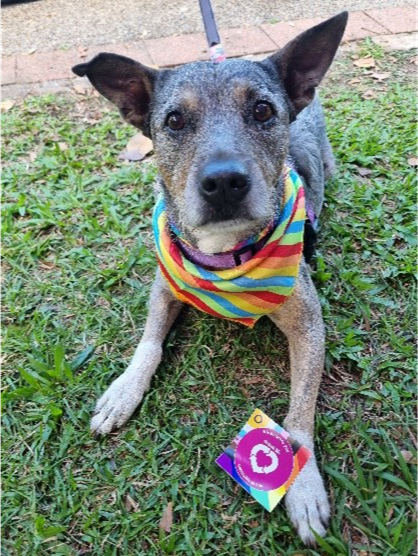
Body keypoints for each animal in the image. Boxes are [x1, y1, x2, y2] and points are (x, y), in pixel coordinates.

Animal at [72, 13, 350, 548]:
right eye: (175, 121)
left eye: (262, 110)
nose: (224, 182)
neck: (224, 259)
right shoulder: (165, 283)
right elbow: (148, 344)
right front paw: (124, 390)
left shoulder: (309, 323)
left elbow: (299, 416)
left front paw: (303, 484)